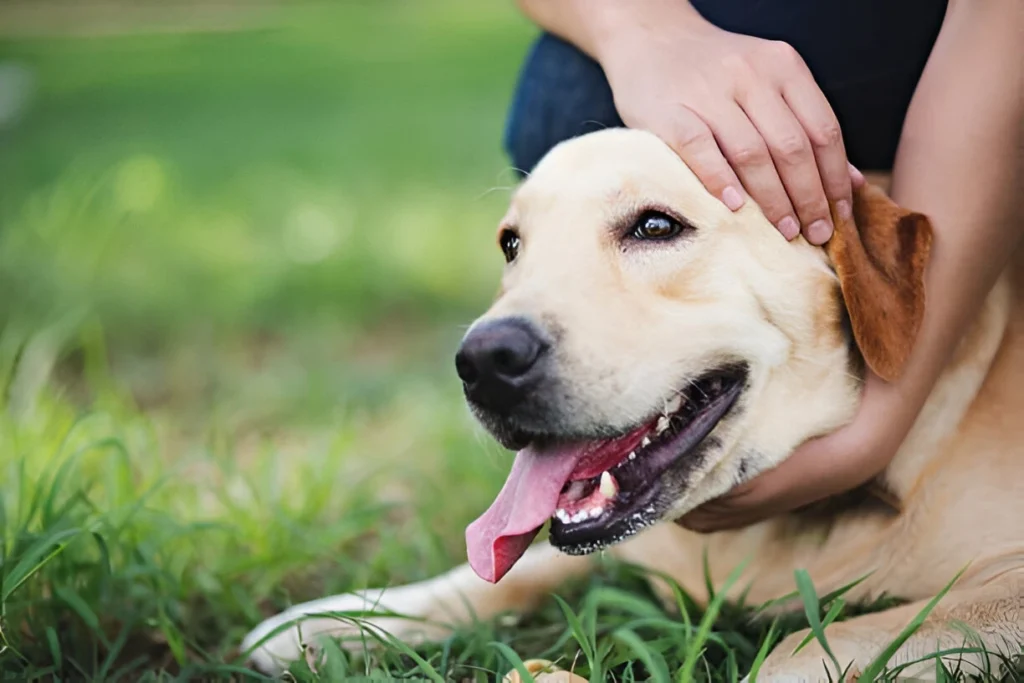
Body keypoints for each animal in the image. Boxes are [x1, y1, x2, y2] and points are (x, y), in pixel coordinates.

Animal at [241, 129, 1024, 683]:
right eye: (511, 245)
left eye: (655, 227)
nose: (483, 362)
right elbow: (509, 567)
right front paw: (336, 620)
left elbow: (806, 645)